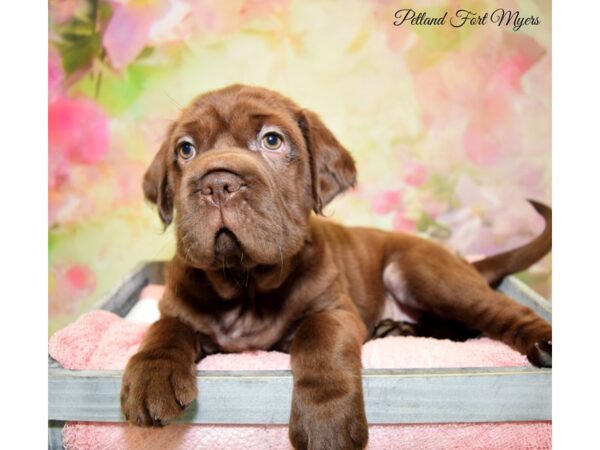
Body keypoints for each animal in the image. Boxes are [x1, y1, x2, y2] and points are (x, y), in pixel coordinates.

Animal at [123, 84, 552, 450]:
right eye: (186, 149)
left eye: (272, 140)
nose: (217, 184)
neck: (247, 285)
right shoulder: (176, 307)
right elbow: (164, 331)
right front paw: (150, 377)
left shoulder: (333, 311)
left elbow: (320, 348)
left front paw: (326, 424)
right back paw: (397, 329)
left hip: (421, 271)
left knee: (498, 312)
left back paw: (542, 344)